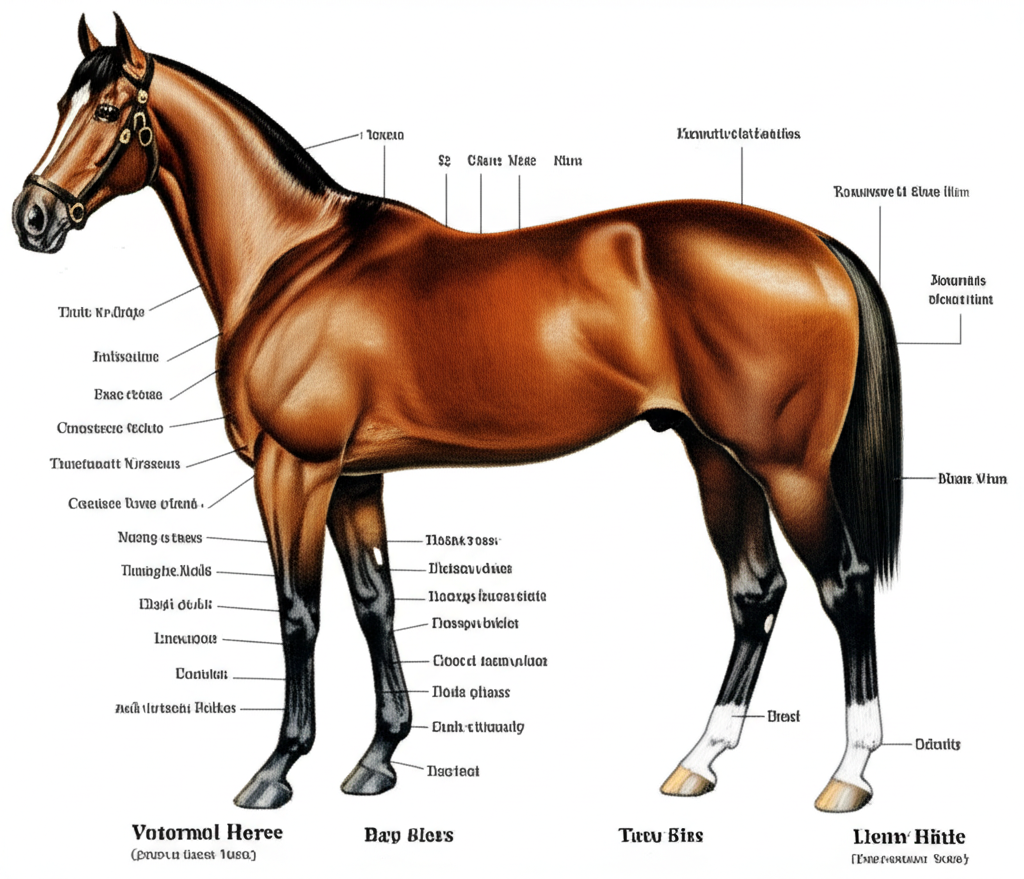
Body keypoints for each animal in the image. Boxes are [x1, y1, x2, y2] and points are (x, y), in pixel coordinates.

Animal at [13, 15, 901, 813]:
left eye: (105, 110)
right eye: (60, 105)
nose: (32, 218)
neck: (293, 261)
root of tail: (816, 245)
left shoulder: (293, 468)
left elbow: (300, 611)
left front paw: (276, 770)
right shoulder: (355, 478)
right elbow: (375, 602)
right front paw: (378, 757)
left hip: (788, 469)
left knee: (843, 584)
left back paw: (848, 774)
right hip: (717, 456)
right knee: (755, 591)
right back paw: (698, 761)